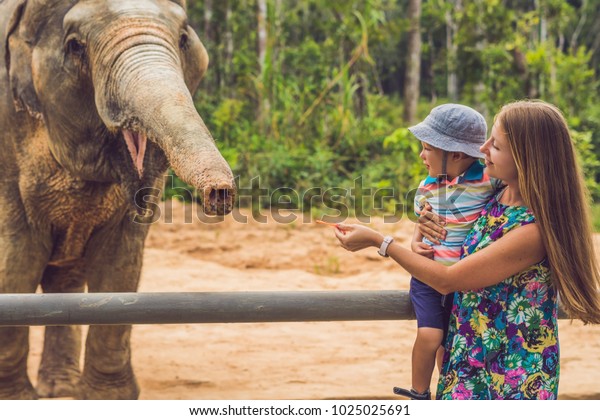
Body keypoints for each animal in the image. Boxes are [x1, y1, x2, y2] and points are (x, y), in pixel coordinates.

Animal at [1, 0, 238, 398]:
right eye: (75, 46)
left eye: (184, 38)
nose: (219, 195)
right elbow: (18, 258)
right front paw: (17, 398)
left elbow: (119, 261)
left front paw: (108, 397)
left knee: (65, 278)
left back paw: (61, 390)